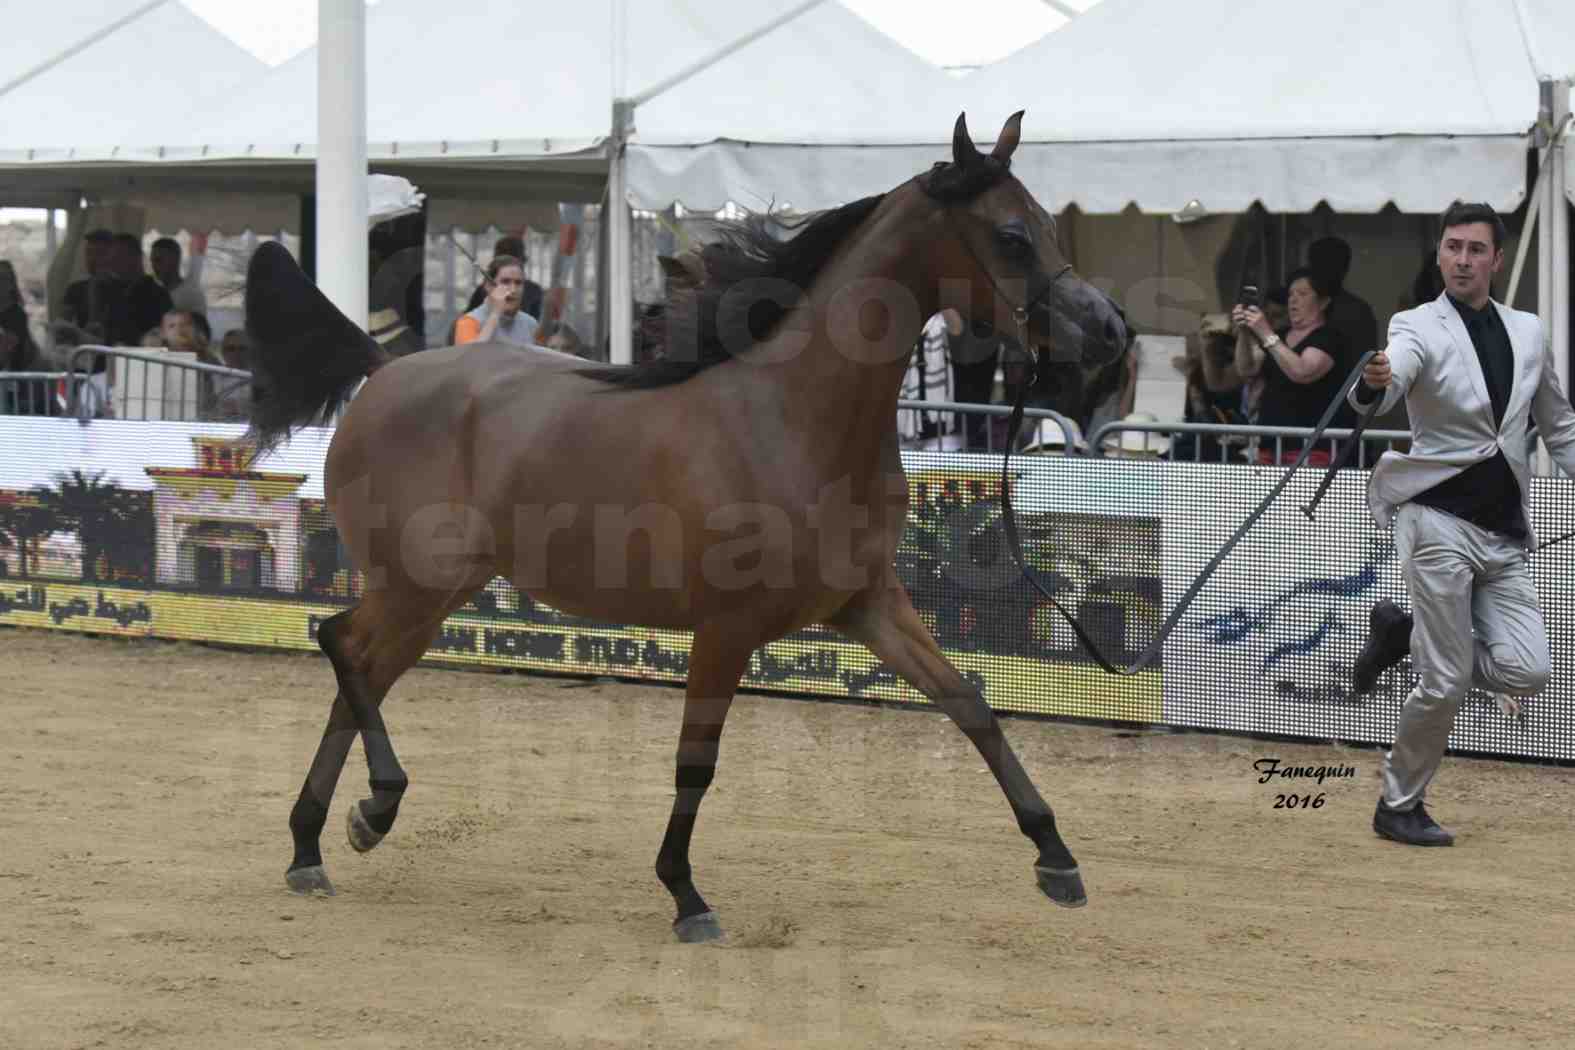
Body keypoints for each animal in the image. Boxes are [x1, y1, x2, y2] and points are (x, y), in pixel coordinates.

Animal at [242, 108, 1134, 944]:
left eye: (1048, 222)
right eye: (1011, 236)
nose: (1111, 332)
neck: (792, 421)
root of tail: (383, 372)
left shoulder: (868, 605)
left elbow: (969, 703)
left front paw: (1056, 859)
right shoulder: (727, 627)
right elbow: (695, 762)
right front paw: (685, 895)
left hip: (432, 597)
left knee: (357, 669)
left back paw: (316, 843)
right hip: (416, 585)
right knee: (336, 643)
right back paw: (372, 808)